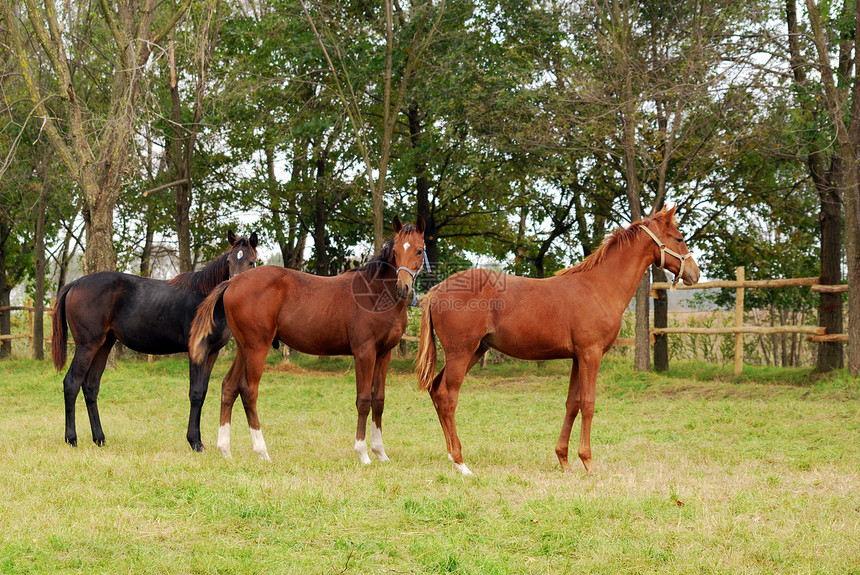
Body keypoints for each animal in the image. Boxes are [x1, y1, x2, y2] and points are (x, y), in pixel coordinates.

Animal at [50, 232, 256, 452]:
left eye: (252, 262)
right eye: (229, 261)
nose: (234, 285)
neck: (208, 299)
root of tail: (74, 285)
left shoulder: (212, 353)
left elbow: (203, 392)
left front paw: (199, 441)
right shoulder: (197, 352)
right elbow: (196, 393)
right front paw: (194, 442)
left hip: (104, 345)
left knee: (90, 386)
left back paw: (99, 438)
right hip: (87, 346)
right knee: (71, 383)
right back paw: (72, 439)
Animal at [191, 216, 426, 464]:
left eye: (419, 250)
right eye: (396, 251)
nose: (403, 287)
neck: (374, 293)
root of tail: (234, 283)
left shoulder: (383, 354)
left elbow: (378, 400)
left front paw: (380, 453)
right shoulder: (364, 353)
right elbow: (363, 400)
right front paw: (363, 453)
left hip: (244, 348)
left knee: (229, 386)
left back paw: (225, 450)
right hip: (257, 347)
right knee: (248, 390)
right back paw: (262, 451)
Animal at [416, 207, 700, 476]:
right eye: (679, 238)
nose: (695, 274)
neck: (599, 287)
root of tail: (437, 290)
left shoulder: (577, 357)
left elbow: (572, 404)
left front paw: (564, 461)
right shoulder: (591, 354)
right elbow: (588, 404)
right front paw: (588, 463)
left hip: (475, 351)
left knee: (436, 390)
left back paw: (451, 456)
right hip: (461, 352)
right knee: (448, 396)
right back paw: (461, 463)